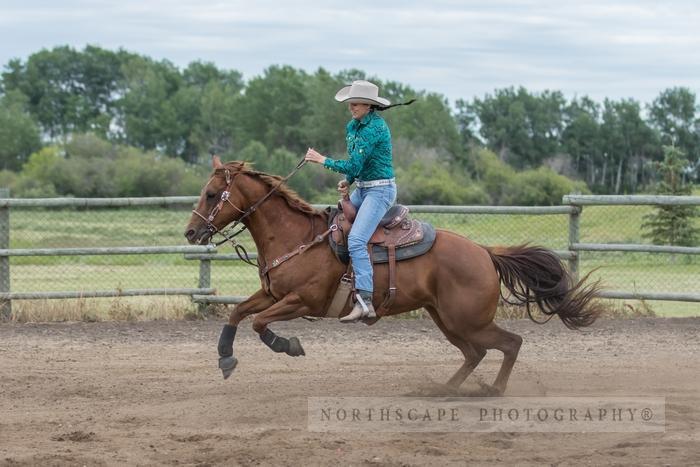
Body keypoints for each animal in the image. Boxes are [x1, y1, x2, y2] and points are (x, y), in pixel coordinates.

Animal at [186, 159, 600, 396]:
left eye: (212, 194)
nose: (191, 233)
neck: (297, 236)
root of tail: (484, 252)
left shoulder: (301, 301)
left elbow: (259, 323)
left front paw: (289, 345)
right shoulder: (272, 295)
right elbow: (238, 313)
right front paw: (225, 359)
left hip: (468, 319)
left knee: (510, 344)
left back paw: (493, 390)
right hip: (447, 319)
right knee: (476, 352)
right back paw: (444, 389)